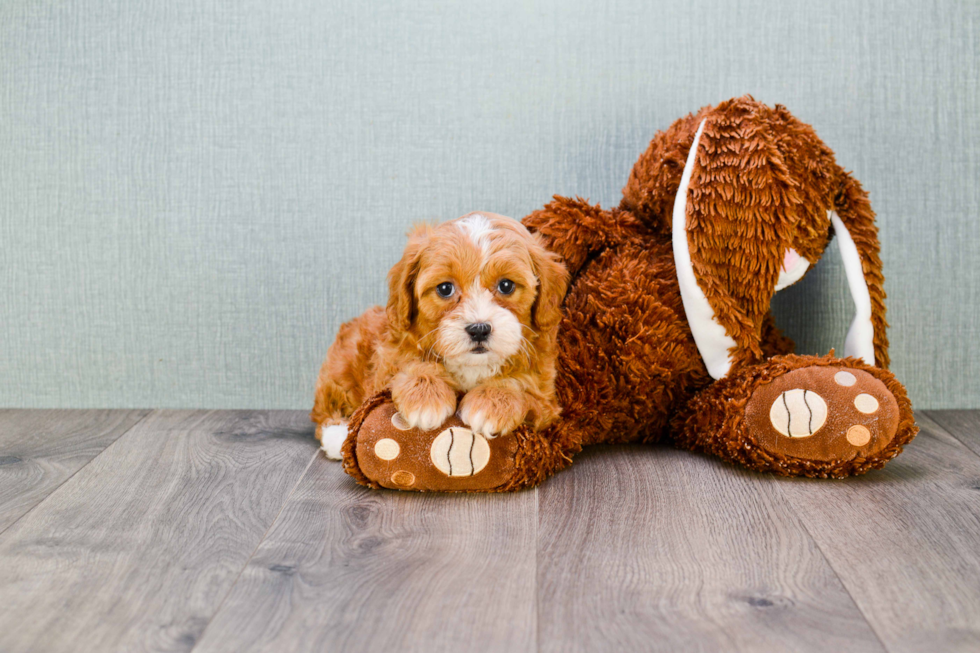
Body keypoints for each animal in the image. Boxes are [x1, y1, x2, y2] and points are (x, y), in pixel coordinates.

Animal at [310, 211, 572, 456]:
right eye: (445, 288)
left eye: (506, 285)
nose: (479, 329)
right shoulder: (388, 360)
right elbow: (410, 365)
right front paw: (425, 398)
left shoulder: (546, 398)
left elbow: (521, 384)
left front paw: (493, 402)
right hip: (341, 365)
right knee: (326, 407)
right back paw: (338, 437)